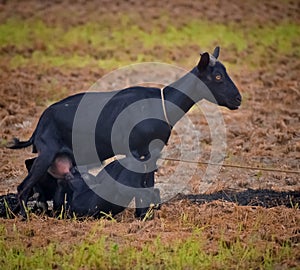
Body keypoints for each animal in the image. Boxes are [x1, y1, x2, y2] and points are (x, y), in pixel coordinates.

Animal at [7, 46, 241, 217]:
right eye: (217, 77)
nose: (238, 99)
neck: (162, 104)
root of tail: (41, 122)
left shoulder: (151, 152)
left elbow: (149, 182)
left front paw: (147, 214)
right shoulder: (140, 151)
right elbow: (143, 184)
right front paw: (142, 215)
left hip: (56, 155)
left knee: (32, 170)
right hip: (47, 152)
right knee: (23, 186)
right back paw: (23, 217)